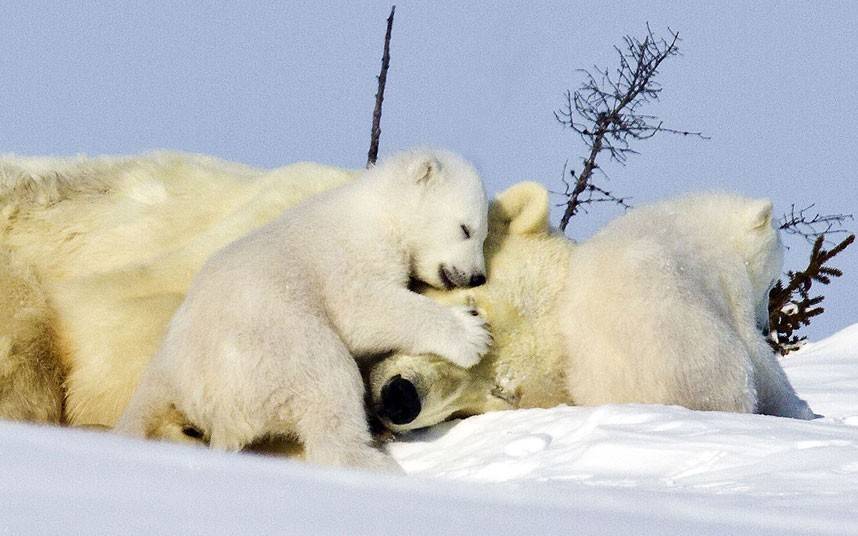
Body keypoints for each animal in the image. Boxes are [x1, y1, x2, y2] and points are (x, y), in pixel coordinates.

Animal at [114, 150, 492, 468]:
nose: (477, 276)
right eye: (466, 229)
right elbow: (361, 307)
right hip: (275, 346)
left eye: (484, 235)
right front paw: (472, 334)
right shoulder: (351, 252)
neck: (376, 210)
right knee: (330, 381)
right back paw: (372, 460)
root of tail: (176, 377)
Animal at [364, 188, 812, 432]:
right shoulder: (723, 280)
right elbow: (761, 362)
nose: (767, 322)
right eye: (771, 282)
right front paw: (801, 408)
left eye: (501, 392)